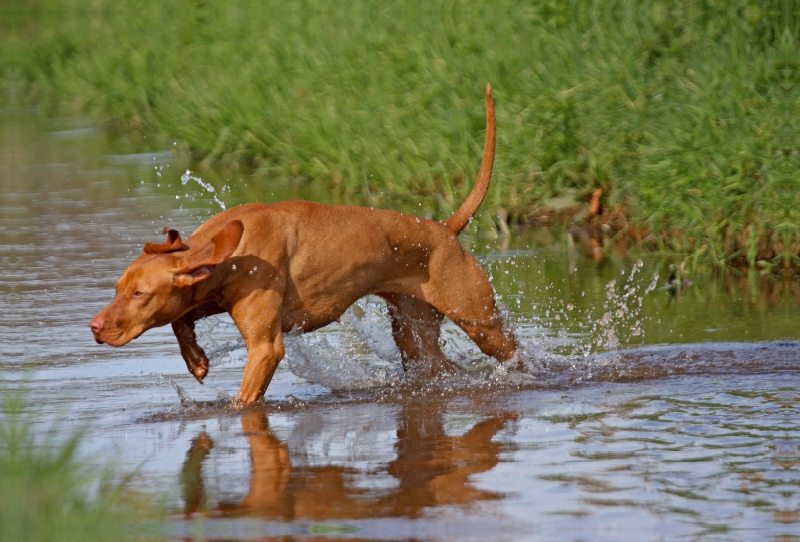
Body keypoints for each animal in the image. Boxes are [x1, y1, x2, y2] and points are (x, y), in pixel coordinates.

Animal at [87, 85, 512, 406]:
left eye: (140, 294)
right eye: (118, 289)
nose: (94, 326)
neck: (234, 250)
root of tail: (443, 228)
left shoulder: (265, 347)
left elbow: (243, 400)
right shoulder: (205, 292)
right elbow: (180, 319)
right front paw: (196, 360)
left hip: (481, 323)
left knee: (510, 354)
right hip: (415, 337)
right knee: (443, 367)